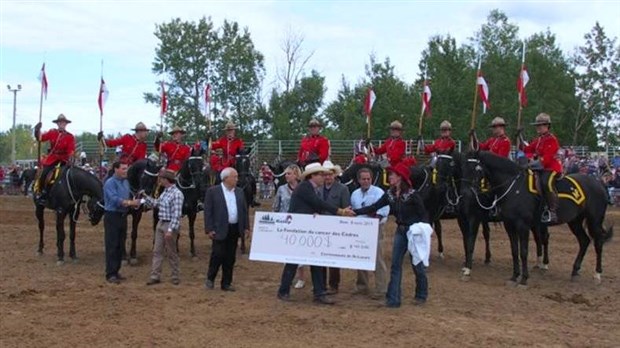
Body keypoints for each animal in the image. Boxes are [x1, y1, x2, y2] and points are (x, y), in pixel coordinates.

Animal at [468, 152, 612, 286]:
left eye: (476, 169)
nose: (472, 190)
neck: (514, 188)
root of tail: (599, 183)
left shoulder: (523, 225)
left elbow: (523, 251)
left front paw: (524, 279)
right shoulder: (510, 225)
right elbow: (514, 251)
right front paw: (514, 276)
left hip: (594, 220)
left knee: (598, 242)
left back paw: (597, 274)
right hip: (574, 221)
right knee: (584, 241)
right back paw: (575, 271)